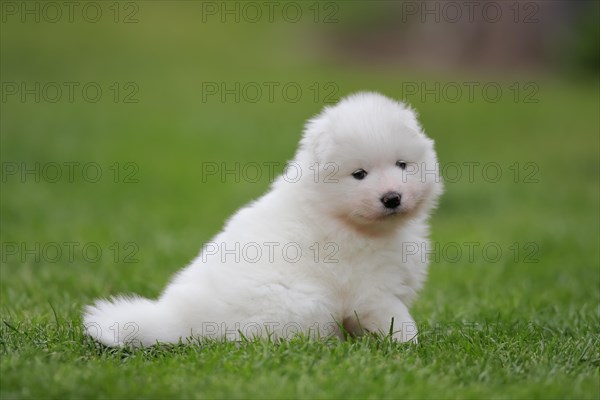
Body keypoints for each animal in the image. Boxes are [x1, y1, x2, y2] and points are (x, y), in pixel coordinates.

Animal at [83, 91, 440, 346]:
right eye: (360, 174)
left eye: (402, 164)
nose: (392, 197)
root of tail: (177, 318)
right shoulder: (372, 289)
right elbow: (395, 318)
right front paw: (409, 345)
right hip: (302, 304)